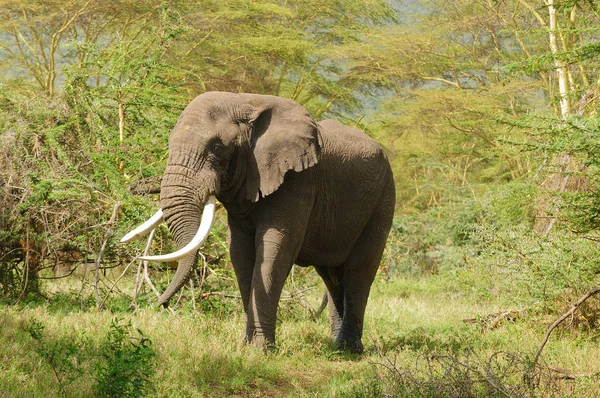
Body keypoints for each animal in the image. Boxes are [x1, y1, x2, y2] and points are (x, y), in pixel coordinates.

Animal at [120, 91, 394, 352]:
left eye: (217, 147)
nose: (159, 305)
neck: (246, 101)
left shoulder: (299, 181)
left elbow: (275, 251)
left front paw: (262, 350)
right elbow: (240, 253)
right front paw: (247, 346)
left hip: (383, 200)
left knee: (358, 271)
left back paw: (349, 350)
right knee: (331, 277)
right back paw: (336, 347)